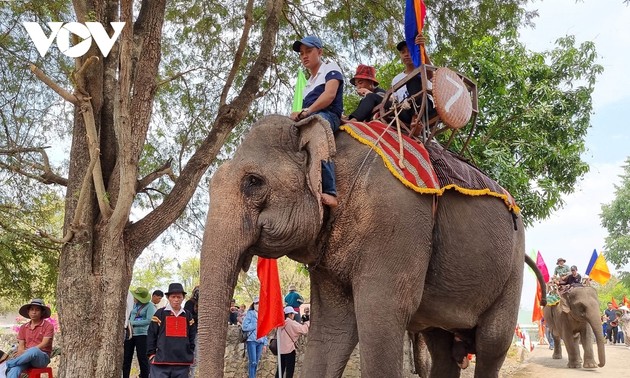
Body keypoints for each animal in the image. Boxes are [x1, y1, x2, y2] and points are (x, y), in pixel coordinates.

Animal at [200, 116, 532, 378]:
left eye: (253, 182)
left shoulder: (395, 219)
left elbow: (380, 313)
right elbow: (332, 327)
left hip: (512, 267)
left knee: (491, 343)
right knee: (441, 347)